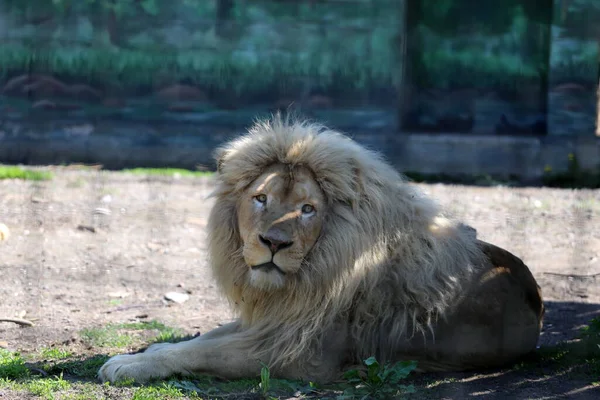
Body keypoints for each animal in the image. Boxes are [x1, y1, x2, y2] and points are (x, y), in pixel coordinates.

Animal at [98, 115, 544, 384]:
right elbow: (207, 337)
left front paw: (130, 363)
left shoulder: (300, 355)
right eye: (260, 199)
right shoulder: (275, 320)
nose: (274, 243)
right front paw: (157, 346)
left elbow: (206, 351)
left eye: (308, 209)